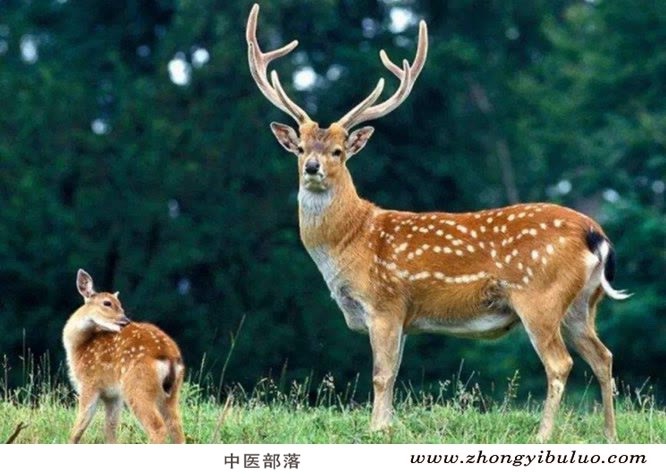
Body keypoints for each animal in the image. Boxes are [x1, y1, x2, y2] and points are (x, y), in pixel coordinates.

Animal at [62, 269, 185, 443]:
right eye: (107, 303)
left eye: (120, 304)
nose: (125, 320)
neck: (78, 347)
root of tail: (169, 357)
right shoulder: (113, 395)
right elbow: (110, 428)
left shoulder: (89, 382)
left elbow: (79, 427)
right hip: (172, 392)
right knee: (176, 427)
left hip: (137, 385)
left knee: (157, 427)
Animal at [246, 4, 630, 442]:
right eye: (301, 148)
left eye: (339, 152)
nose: (312, 167)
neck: (351, 242)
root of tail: (595, 234)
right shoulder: (404, 317)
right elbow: (394, 373)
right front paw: (388, 425)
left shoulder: (385, 302)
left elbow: (381, 375)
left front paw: (376, 430)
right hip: (583, 303)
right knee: (603, 356)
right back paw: (610, 434)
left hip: (539, 296)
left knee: (560, 363)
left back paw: (543, 434)